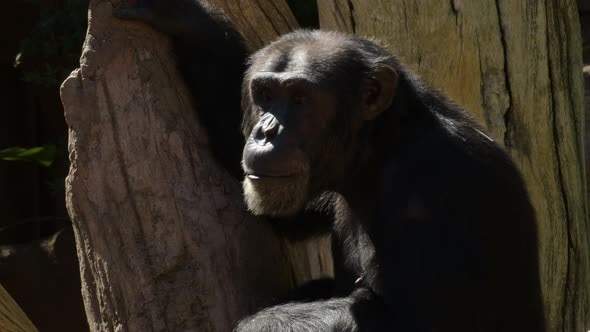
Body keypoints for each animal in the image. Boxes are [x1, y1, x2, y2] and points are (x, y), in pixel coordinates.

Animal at [114, 1, 544, 330]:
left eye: (299, 97)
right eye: (265, 93)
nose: (266, 132)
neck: (378, 150)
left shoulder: (438, 182)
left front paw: (258, 322)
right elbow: (290, 217)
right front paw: (182, 15)